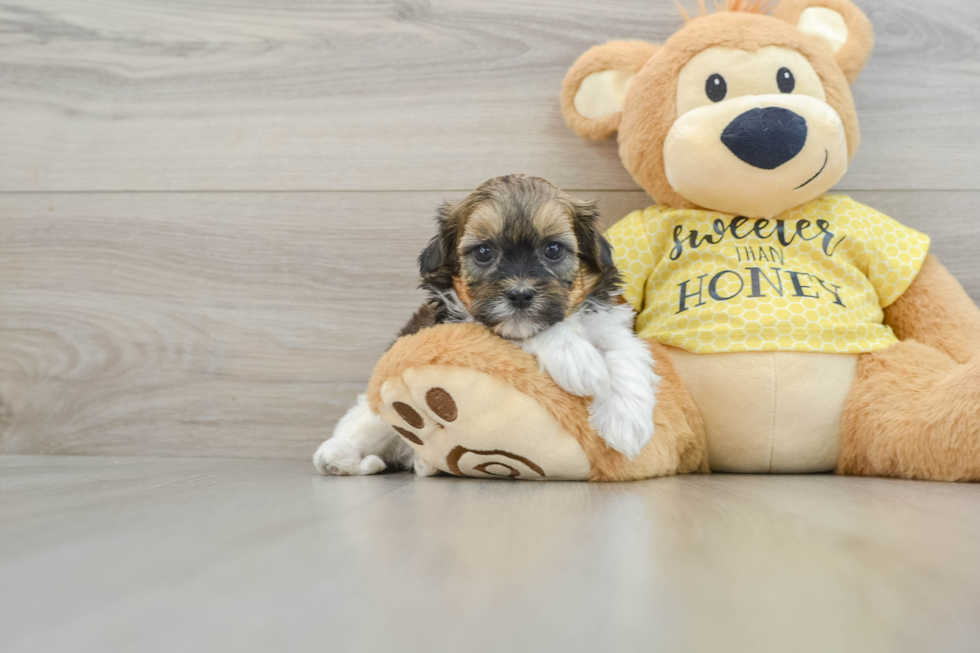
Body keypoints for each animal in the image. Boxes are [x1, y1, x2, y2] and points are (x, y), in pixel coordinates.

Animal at [314, 176, 660, 476]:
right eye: (483, 251)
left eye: (553, 249)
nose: (520, 295)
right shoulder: (466, 326)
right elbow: (537, 333)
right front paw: (578, 360)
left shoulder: (608, 323)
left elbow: (625, 353)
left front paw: (627, 424)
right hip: (376, 415)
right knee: (363, 429)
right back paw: (338, 458)